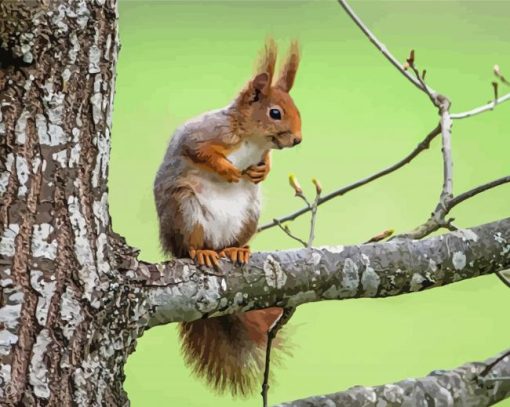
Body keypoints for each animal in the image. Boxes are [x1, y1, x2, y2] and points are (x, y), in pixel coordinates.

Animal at [153, 39, 300, 396]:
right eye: (275, 113)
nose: (297, 139)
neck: (252, 140)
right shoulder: (204, 134)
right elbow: (199, 151)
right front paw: (228, 170)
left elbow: (265, 162)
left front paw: (261, 170)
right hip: (185, 209)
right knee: (192, 246)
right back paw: (202, 252)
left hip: (250, 213)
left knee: (233, 242)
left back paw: (236, 249)